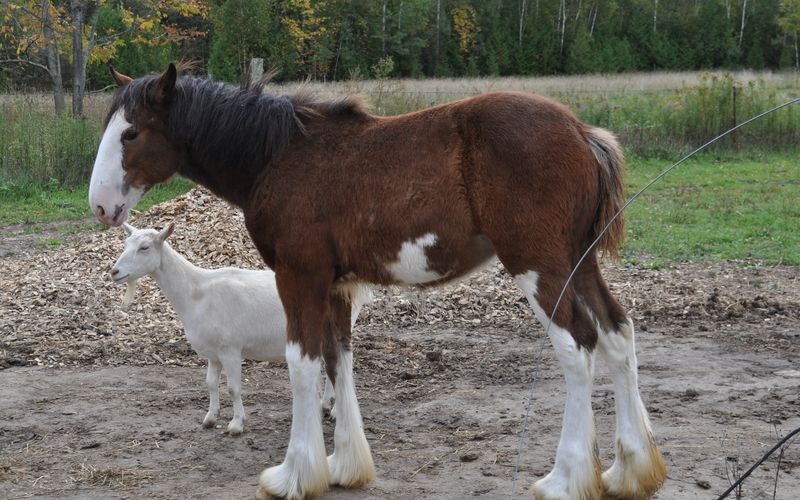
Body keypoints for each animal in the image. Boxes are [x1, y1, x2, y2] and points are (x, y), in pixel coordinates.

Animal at [111, 225, 368, 436]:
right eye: (126, 244)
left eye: (144, 247)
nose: (114, 271)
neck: (197, 292)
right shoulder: (213, 353)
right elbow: (210, 383)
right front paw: (210, 418)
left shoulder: (230, 350)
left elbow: (233, 388)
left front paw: (236, 424)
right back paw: (325, 405)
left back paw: (335, 411)